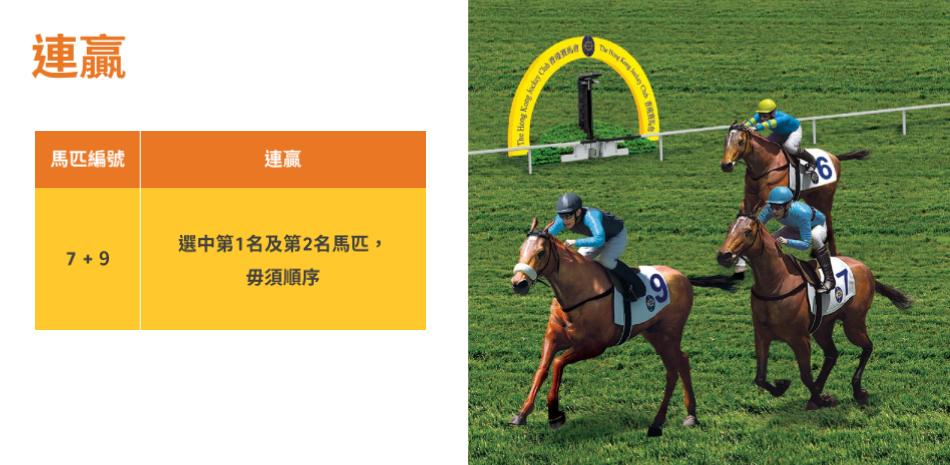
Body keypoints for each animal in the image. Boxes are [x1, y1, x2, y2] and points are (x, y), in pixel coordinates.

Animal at [509, 218, 733, 436]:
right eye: (520, 249)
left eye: (541, 252)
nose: (518, 283)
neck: (578, 291)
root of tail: (684, 277)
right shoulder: (553, 338)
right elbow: (542, 370)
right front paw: (522, 414)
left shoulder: (594, 346)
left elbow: (557, 364)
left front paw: (555, 415)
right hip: (654, 333)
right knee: (682, 362)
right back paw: (690, 415)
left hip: (669, 332)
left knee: (673, 369)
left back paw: (659, 422)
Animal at [716, 214, 911, 409]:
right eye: (729, 228)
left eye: (748, 231)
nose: (724, 255)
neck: (776, 283)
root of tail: (866, 269)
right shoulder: (762, 336)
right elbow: (760, 378)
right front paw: (785, 387)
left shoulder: (800, 339)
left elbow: (805, 375)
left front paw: (823, 398)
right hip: (823, 327)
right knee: (832, 354)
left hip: (853, 323)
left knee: (867, 347)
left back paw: (858, 391)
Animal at [720, 123, 870, 262]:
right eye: (725, 141)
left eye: (740, 141)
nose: (726, 165)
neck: (766, 165)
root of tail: (834, 156)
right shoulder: (750, 199)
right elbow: (744, 216)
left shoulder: (767, 200)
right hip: (812, 197)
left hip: (825, 197)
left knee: (829, 222)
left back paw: (834, 253)